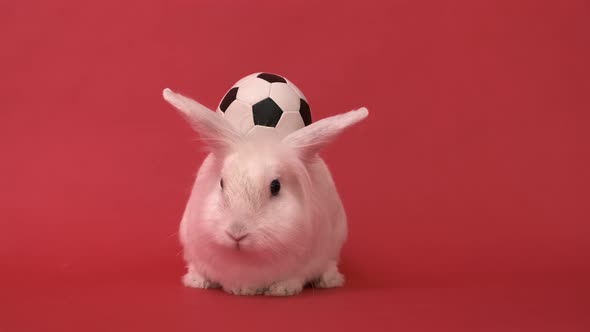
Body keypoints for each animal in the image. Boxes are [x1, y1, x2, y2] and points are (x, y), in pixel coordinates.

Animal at [164, 87, 368, 296]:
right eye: (221, 183)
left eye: (275, 186)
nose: (237, 233)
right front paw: (201, 282)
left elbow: (294, 278)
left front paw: (281, 290)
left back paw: (328, 280)